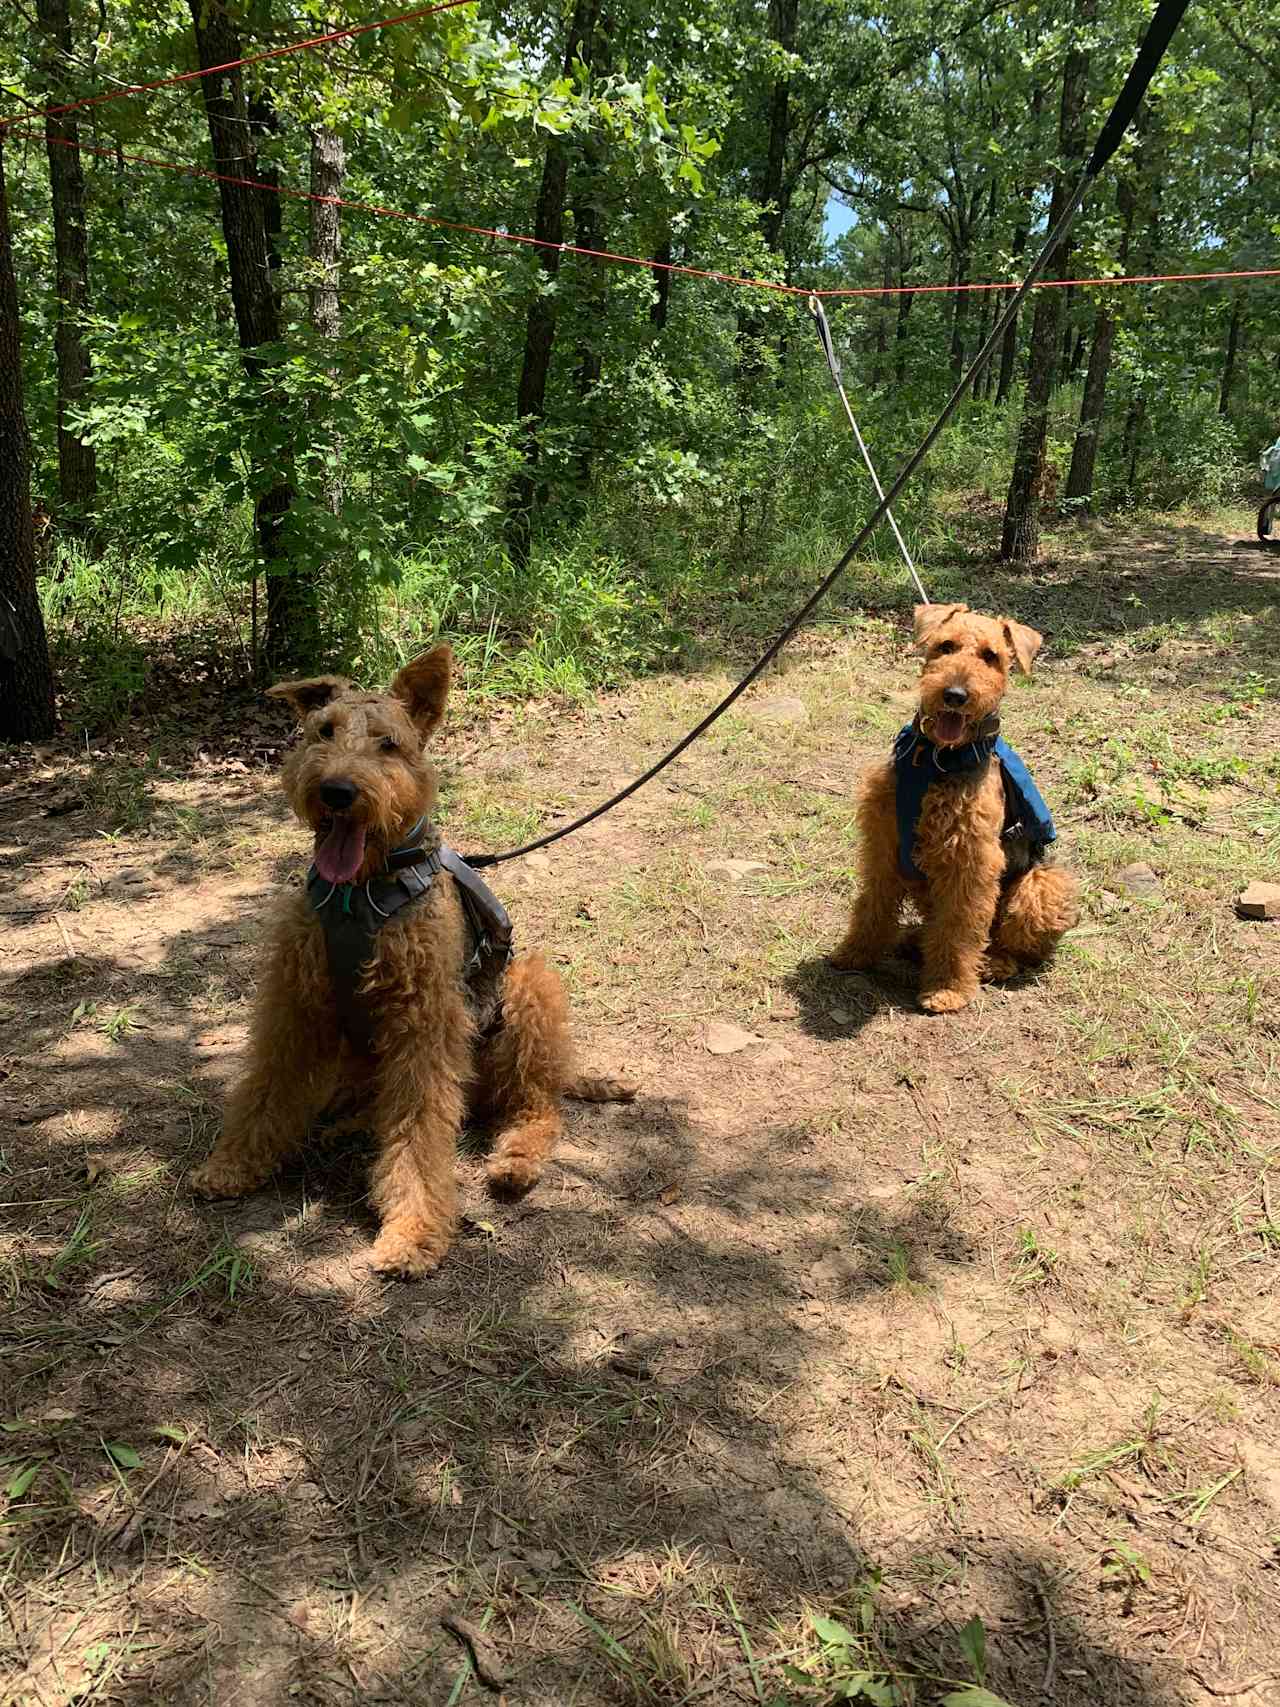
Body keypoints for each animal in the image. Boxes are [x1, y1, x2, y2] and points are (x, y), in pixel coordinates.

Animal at [194, 645, 600, 1276]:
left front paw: (412, 1232)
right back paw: (345, 1126)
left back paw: (513, 1164)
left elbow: (418, 1135)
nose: (336, 791)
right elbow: (266, 1088)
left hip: (527, 993)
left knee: (534, 1108)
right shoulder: (295, 1006)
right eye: (323, 731)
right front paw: (232, 1164)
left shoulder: (424, 1027)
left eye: (388, 743)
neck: (360, 893)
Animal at [836, 604, 1078, 1010]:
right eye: (945, 646)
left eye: (991, 656)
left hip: (1042, 885)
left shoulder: (970, 861)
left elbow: (959, 928)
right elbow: (872, 905)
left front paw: (947, 989)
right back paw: (914, 941)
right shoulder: (883, 846)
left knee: (1010, 943)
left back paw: (994, 963)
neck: (936, 759)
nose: (955, 694)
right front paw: (853, 953)